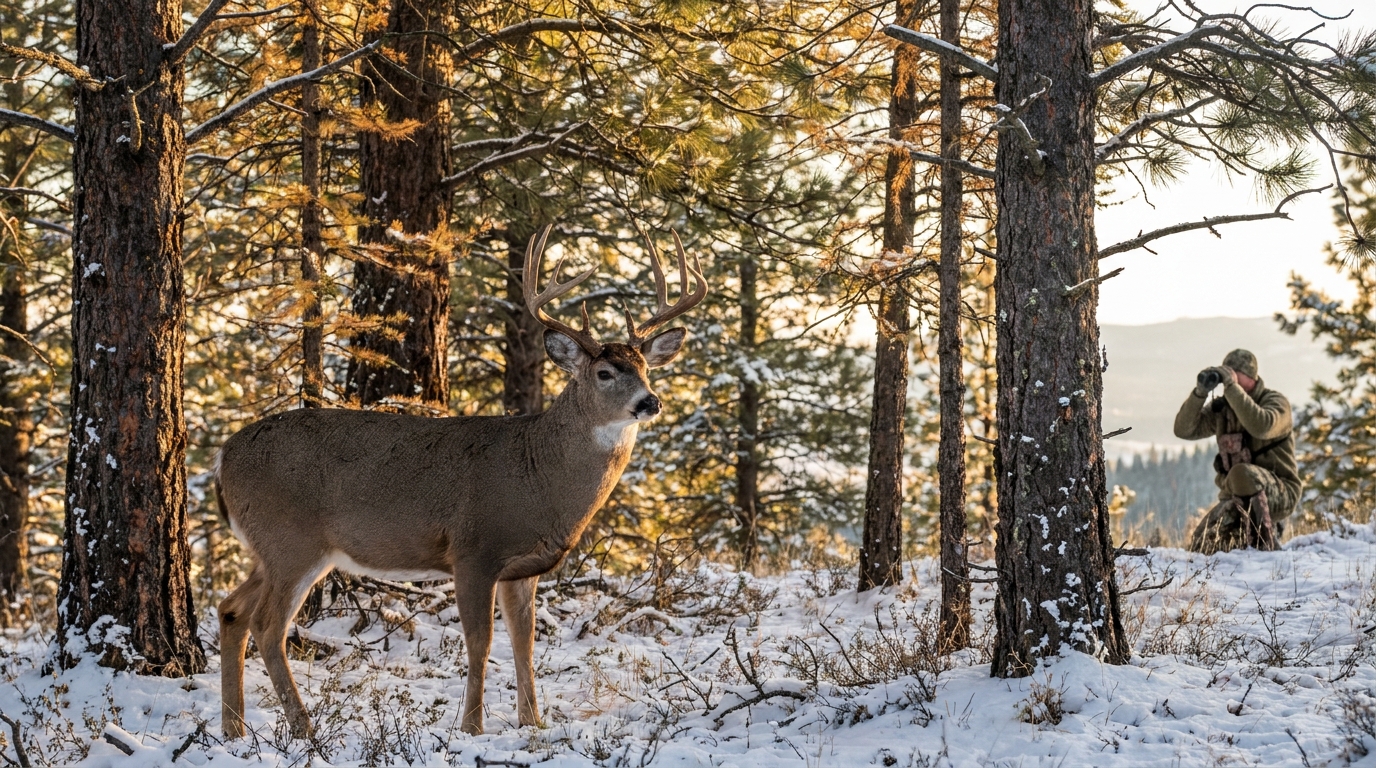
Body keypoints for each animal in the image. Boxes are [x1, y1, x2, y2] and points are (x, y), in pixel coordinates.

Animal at [214, 224, 706, 739]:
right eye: (606, 372)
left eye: (646, 368)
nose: (650, 401)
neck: (537, 475)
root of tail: (223, 456)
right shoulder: (473, 550)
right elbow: (480, 642)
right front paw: (472, 727)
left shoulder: (522, 567)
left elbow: (524, 642)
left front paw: (533, 723)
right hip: (293, 541)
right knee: (267, 625)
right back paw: (303, 728)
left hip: (269, 548)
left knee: (231, 611)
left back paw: (234, 728)